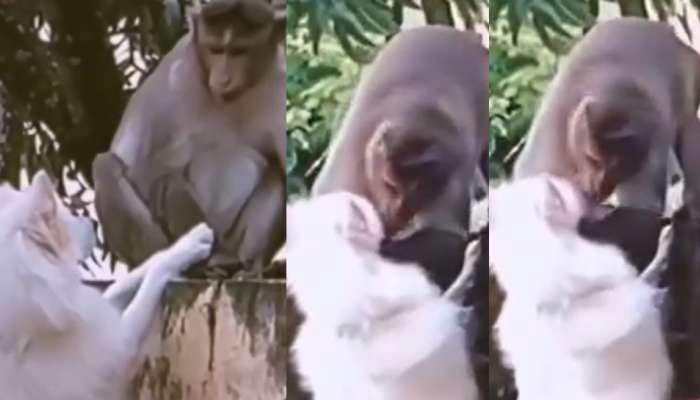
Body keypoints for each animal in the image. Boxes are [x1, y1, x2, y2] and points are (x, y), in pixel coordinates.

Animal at [92, 0, 285, 274]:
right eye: (216, 50)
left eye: (239, 51)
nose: (223, 78)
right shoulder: (173, 75)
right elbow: (141, 169)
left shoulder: (278, 83)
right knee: (111, 167)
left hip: (235, 241)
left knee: (276, 176)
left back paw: (244, 264)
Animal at [512, 17, 700, 271]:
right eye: (592, 158)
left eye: (619, 166)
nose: (599, 187)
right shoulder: (553, 133)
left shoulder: (651, 140)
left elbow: (643, 218)